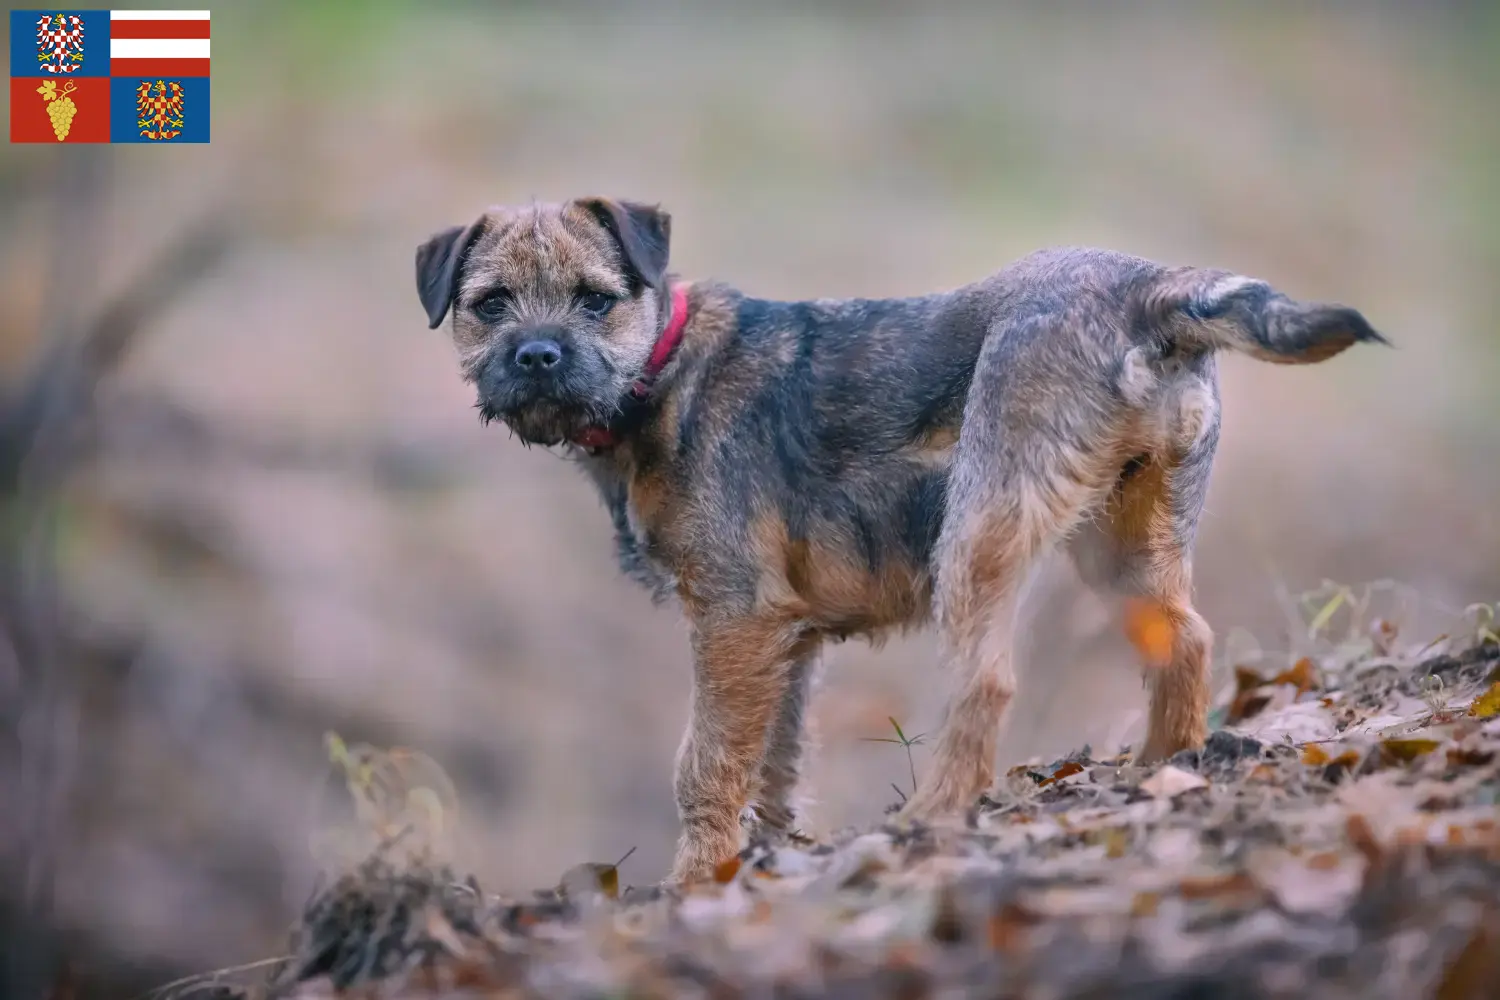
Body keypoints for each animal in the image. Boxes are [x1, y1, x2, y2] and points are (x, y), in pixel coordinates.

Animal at [411, 197, 1380, 881]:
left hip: (980, 531)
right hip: (1130, 538)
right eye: (490, 306)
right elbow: (774, 765)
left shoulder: (731, 619)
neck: (664, 370)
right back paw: (1162, 769)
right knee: (1184, 638)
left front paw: (693, 883)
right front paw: (751, 864)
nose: (537, 354)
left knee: (987, 684)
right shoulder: (784, 643)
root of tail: (1151, 290)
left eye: (595, 301)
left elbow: (707, 763)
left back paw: (931, 819)